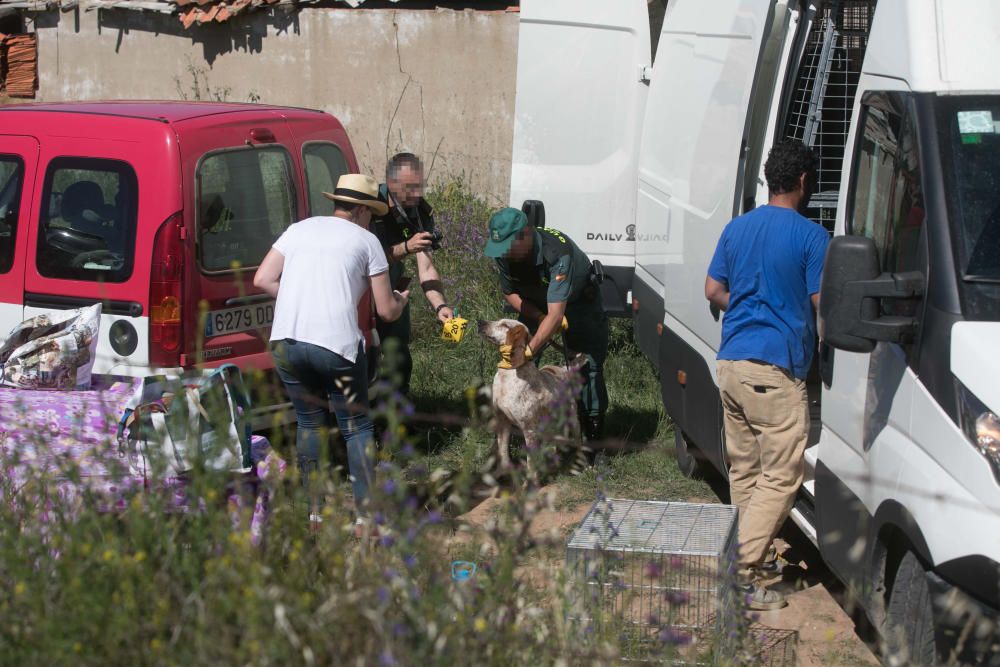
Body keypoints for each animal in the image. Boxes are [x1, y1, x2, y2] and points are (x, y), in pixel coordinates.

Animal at [478, 318, 584, 470]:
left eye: (504, 325)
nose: (479, 322)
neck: (508, 374)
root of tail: (565, 370)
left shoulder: (529, 430)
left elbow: (531, 464)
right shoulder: (503, 423)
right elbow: (504, 453)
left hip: (573, 420)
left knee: (578, 442)